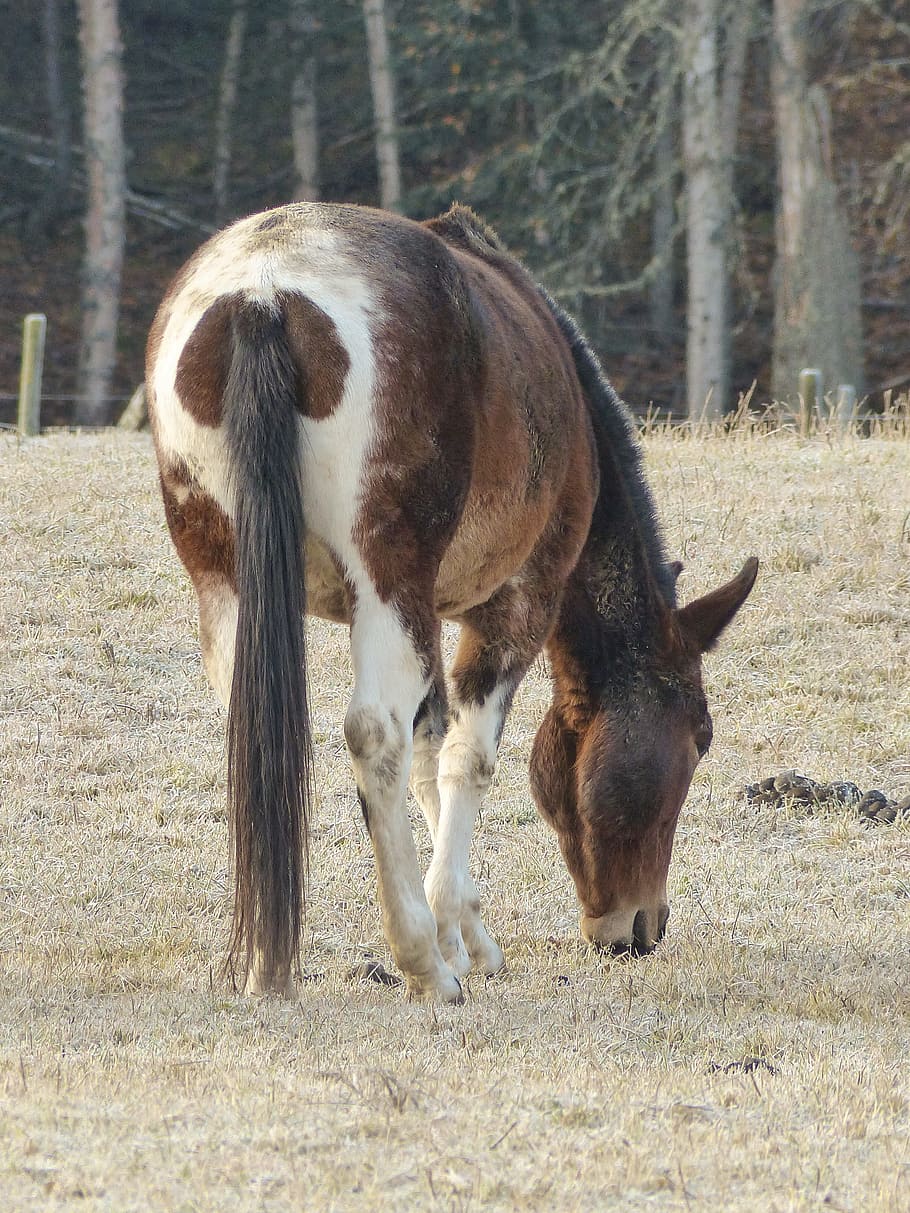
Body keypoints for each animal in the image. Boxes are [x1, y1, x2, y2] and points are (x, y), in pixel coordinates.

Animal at [144, 201, 757, 1004]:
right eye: (700, 736)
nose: (641, 927)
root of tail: (265, 293)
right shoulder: (513, 606)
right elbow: (467, 759)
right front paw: (450, 936)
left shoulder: (428, 611)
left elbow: (431, 748)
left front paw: (461, 934)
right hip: (386, 585)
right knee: (374, 734)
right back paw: (420, 963)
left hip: (232, 584)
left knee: (260, 730)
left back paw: (263, 965)